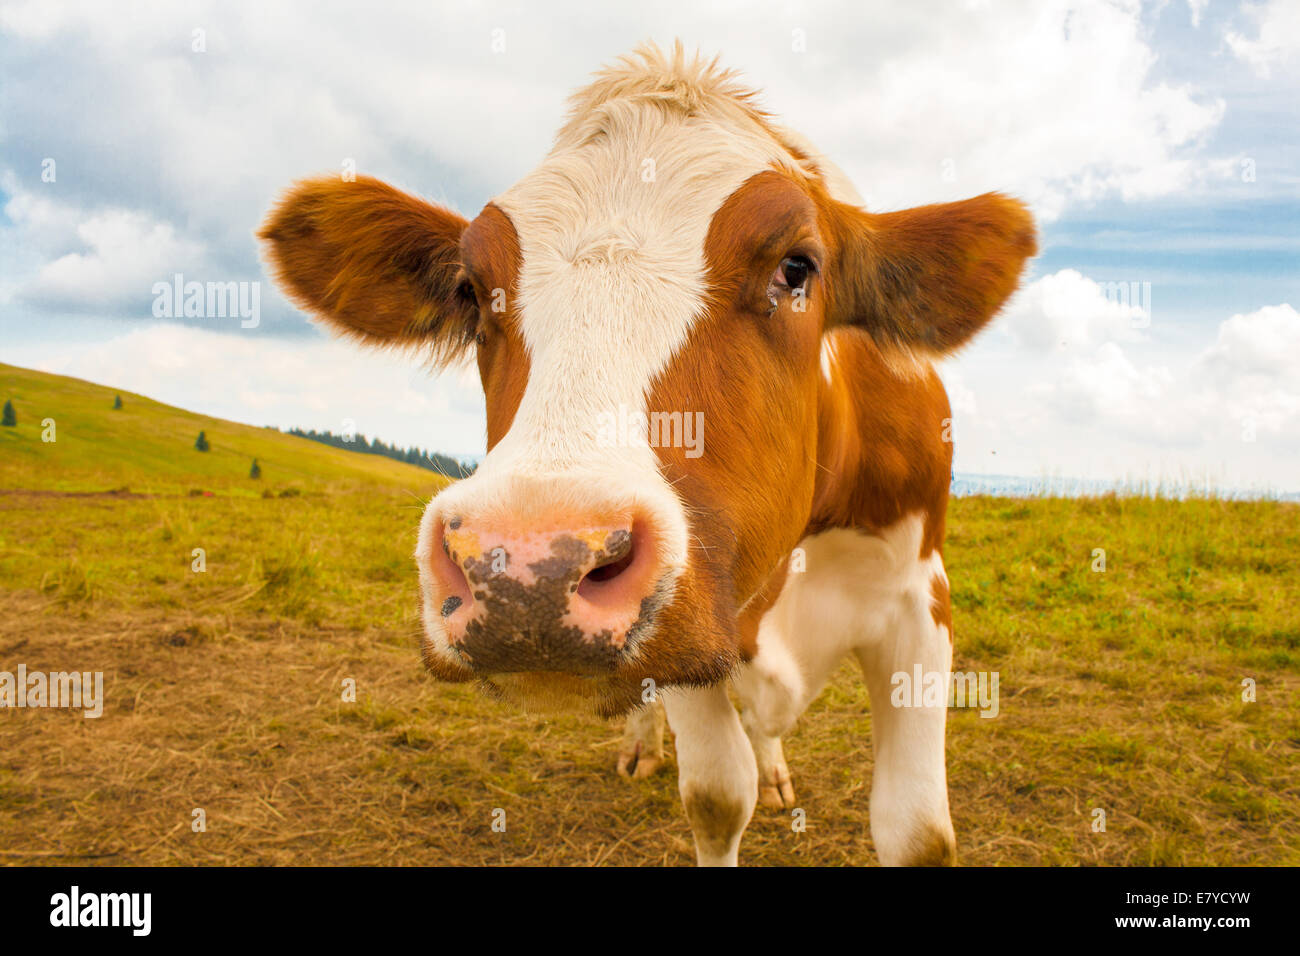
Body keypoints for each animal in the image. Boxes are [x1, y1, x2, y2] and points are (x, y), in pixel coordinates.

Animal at [261, 41, 1034, 868]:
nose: (528, 568)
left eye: (796, 267)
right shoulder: (692, 634)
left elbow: (916, 830)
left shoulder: (920, 602)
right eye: (471, 291)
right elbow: (718, 797)